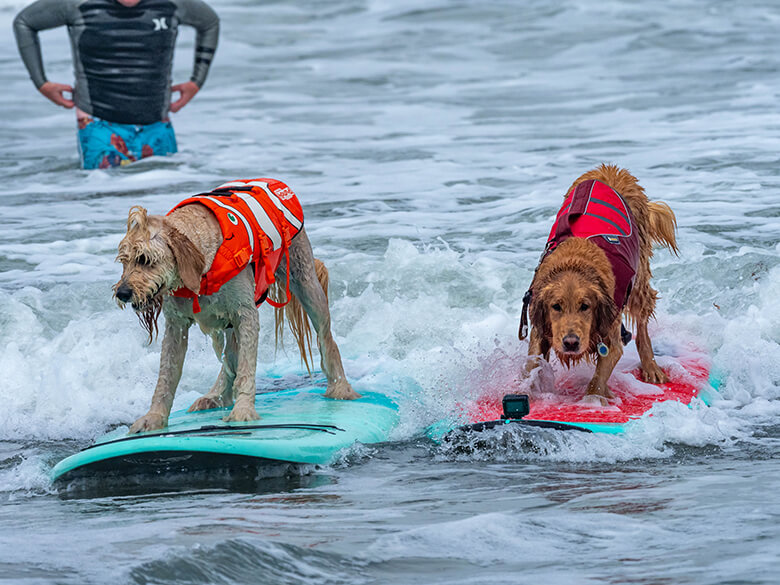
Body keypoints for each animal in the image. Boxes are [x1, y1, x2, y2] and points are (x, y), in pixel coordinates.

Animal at [112, 179, 360, 434]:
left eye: (145, 259)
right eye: (124, 262)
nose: (122, 293)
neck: (202, 266)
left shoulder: (246, 314)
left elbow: (246, 367)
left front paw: (243, 411)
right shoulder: (176, 325)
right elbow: (166, 376)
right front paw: (154, 418)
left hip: (305, 282)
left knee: (326, 338)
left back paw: (341, 388)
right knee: (230, 359)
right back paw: (216, 396)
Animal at [520, 163, 680, 402]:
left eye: (585, 306)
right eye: (556, 306)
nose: (571, 342)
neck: (574, 263)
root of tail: (611, 169)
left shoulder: (611, 337)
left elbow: (597, 381)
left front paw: (593, 401)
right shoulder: (541, 329)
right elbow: (533, 364)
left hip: (639, 281)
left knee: (642, 326)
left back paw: (651, 367)